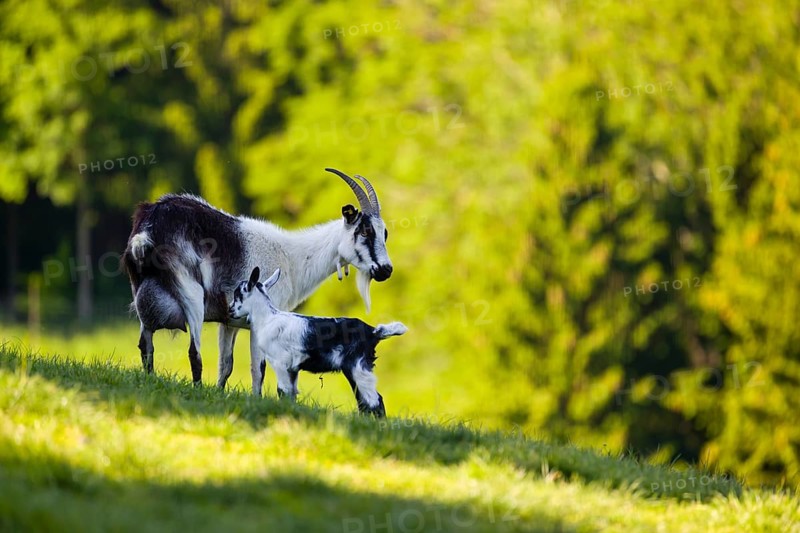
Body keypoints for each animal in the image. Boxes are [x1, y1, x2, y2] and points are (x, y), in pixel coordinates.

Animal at [122, 168, 394, 387]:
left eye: (384, 233)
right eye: (365, 231)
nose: (386, 270)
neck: (292, 258)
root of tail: (148, 230)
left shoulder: (229, 323)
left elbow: (226, 365)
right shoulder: (260, 322)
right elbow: (258, 369)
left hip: (140, 293)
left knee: (146, 346)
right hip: (191, 294)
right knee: (194, 353)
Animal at [229, 266, 407, 416]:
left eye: (237, 295)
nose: (230, 310)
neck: (268, 318)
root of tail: (373, 331)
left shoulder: (280, 363)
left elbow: (282, 391)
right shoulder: (292, 368)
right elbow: (291, 393)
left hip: (357, 367)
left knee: (374, 400)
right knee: (364, 400)